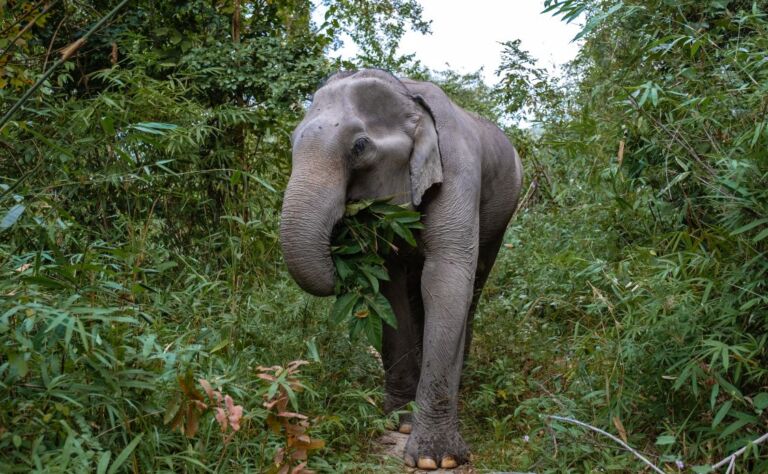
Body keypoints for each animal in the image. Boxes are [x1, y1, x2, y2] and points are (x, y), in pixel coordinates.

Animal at [280, 67, 524, 470]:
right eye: (292, 141)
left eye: (360, 147)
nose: (342, 239)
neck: (407, 97)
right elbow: (390, 286)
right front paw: (399, 422)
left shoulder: (458, 171)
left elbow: (446, 279)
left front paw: (435, 459)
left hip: (502, 214)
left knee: (474, 284)